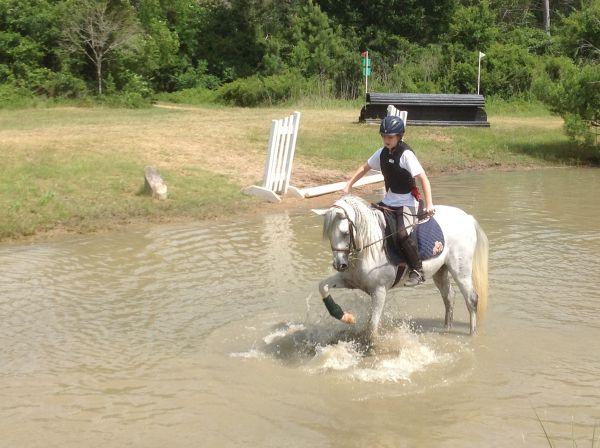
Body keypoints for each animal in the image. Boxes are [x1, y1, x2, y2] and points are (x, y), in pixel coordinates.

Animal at [314, 195, 488, 336]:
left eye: (345, 233)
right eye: (328, 234)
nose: (340, 265)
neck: (368, 249)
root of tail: (467, 217)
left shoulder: (379, 291)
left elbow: (372, 327)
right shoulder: (349, 281)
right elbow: (322, 286)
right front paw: (345, 317)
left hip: (460, 270)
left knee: (471, 299)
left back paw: (472, 335)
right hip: (440, 270)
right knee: (449, 297)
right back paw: (446, 329)